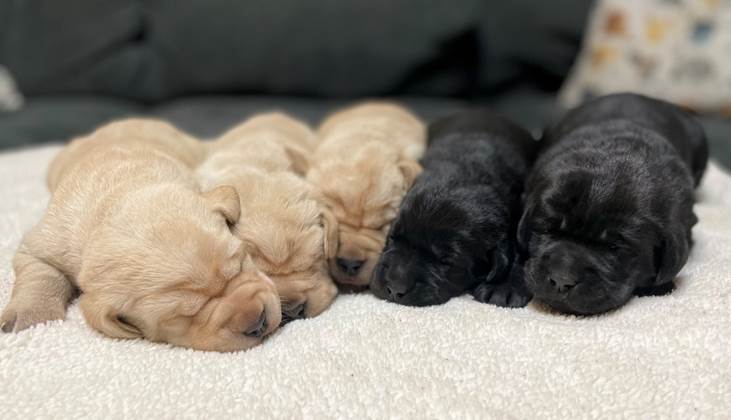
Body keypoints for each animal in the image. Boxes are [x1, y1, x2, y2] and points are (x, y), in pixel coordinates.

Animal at [0, 120, 282, 352]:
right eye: (183, 316)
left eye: (242, 264)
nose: (258, 322)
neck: (120, 193)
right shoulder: (42, 243)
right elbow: (41, 274)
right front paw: (31, 315)